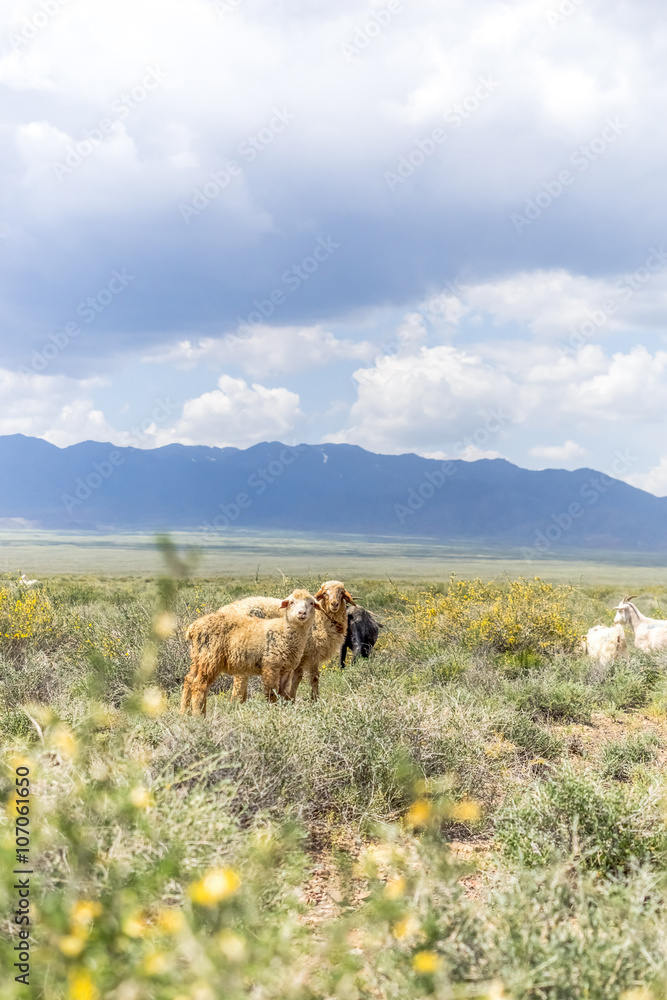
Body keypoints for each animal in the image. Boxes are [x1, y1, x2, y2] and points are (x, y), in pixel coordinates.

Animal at [180, 588, 320, 716]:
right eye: (291, 602)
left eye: (311, 603)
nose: (302, 613)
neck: (284, 631)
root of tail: (193, 627)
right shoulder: (270, 666)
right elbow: (272, 692)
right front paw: (272, 712)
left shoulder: (286, 669)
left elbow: (283, 693)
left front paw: (283, 711)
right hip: (209, 657)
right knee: (199, 684)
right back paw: (198, 714)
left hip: (197, 657)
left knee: (189, 680)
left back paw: (184, 711)